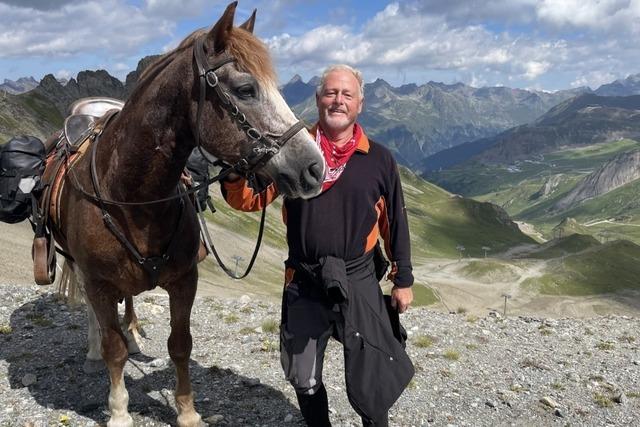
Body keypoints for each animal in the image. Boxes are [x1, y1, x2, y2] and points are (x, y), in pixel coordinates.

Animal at [48, 3, 325, 426]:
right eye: (246, 90)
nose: (314, 167)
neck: (132, 199)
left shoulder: (184, 281)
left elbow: (180, 344)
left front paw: (187, 411)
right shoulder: (98, 282)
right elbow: (114, 349)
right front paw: (119, 410)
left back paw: (133, 333)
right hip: (81, 269)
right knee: (98, 319)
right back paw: (95, 350)